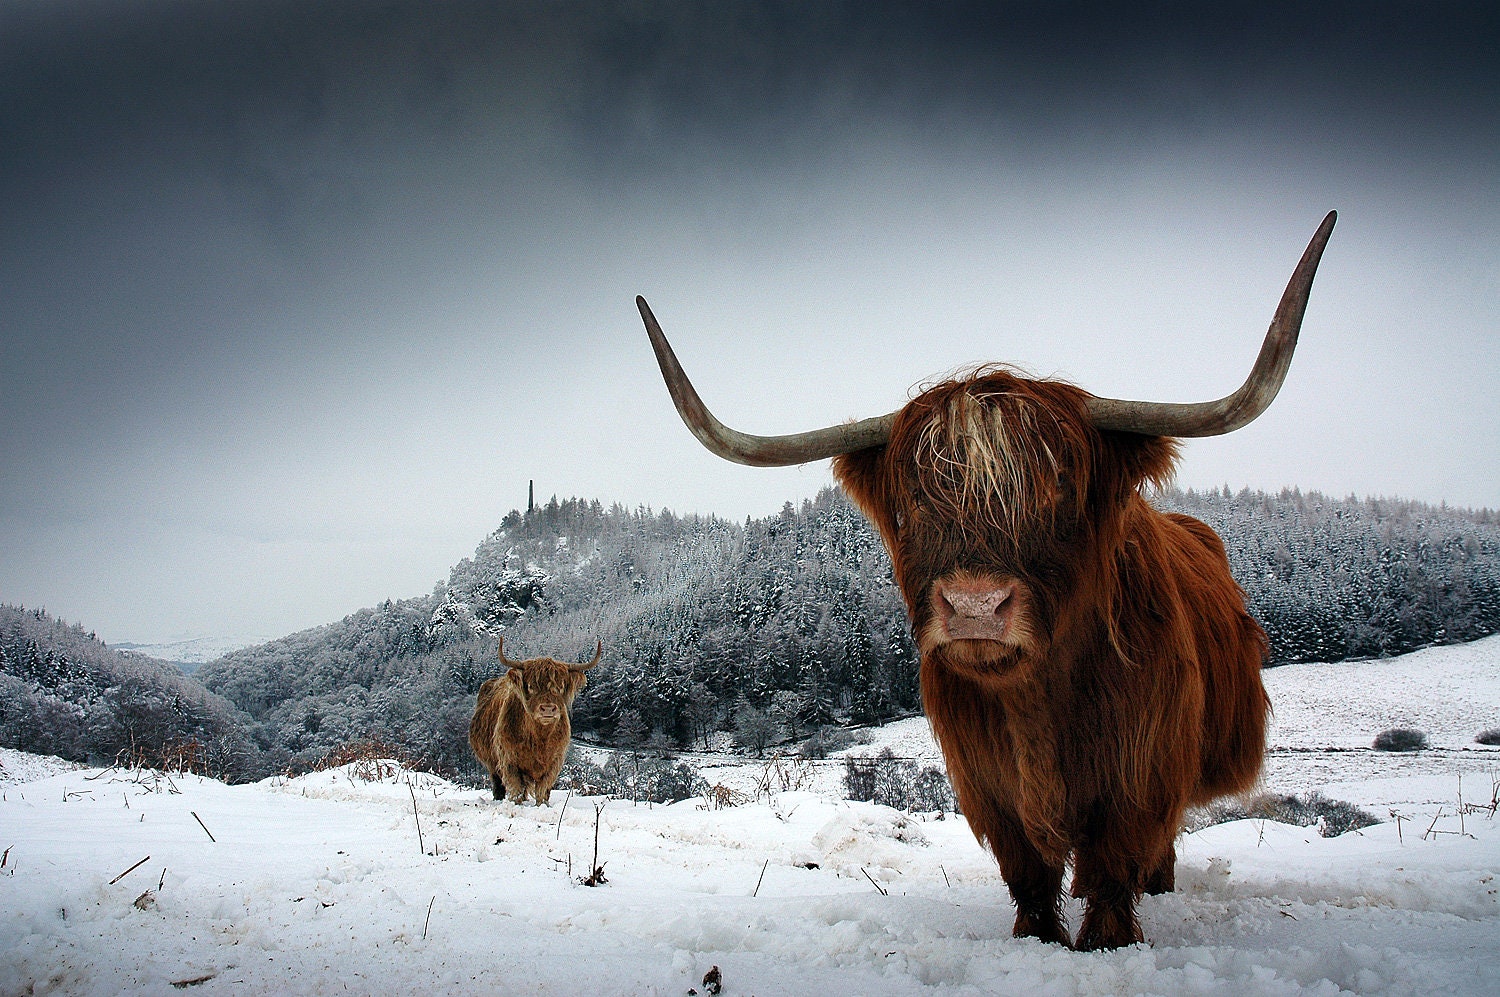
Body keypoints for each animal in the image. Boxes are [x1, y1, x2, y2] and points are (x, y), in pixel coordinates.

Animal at [469, 637, 602, 805]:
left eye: (560, 686)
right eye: (531, 686)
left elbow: (543, 791)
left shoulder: (554, 763)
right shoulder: (509, 761)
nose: (548, 709)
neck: (540, 738)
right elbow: (516, 789)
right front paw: (517, 804)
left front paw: (542, 805)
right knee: (498, 785)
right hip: (492, 764)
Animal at [633, 212, 1336, 950]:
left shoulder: (1141, 767)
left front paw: (1108, 940)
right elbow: (1027, 868)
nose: (974, 606)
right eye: (912, 503)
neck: (1037, 703)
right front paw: (1037, 937)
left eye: (1062, 489)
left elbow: (1118, 861)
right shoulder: (985, 781)